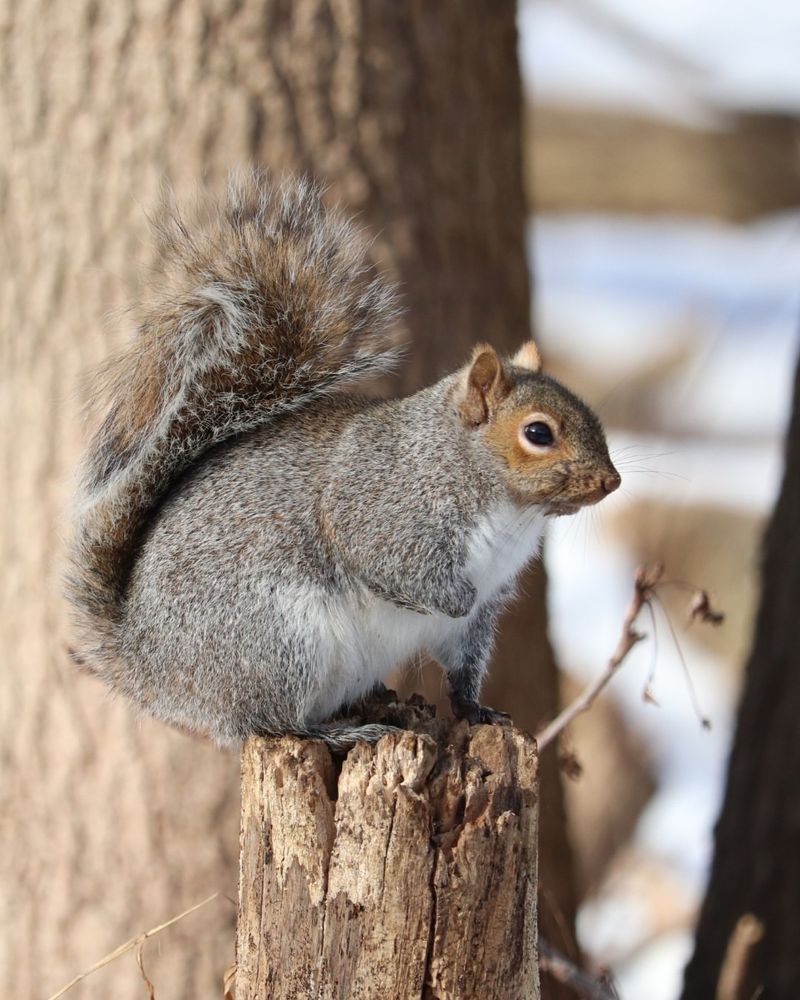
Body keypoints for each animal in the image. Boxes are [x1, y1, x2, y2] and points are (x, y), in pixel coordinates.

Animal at [66, 171, 621, 750]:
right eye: (538, 432)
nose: (611, 482)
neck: (509, 511)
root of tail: (148, 666)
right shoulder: (382, 507)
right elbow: (384, 560)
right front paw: (452, 596)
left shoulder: (482, 616)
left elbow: (463, 668)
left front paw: (477, 709)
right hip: (279, 642)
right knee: (267, 724)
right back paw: (343, 733)